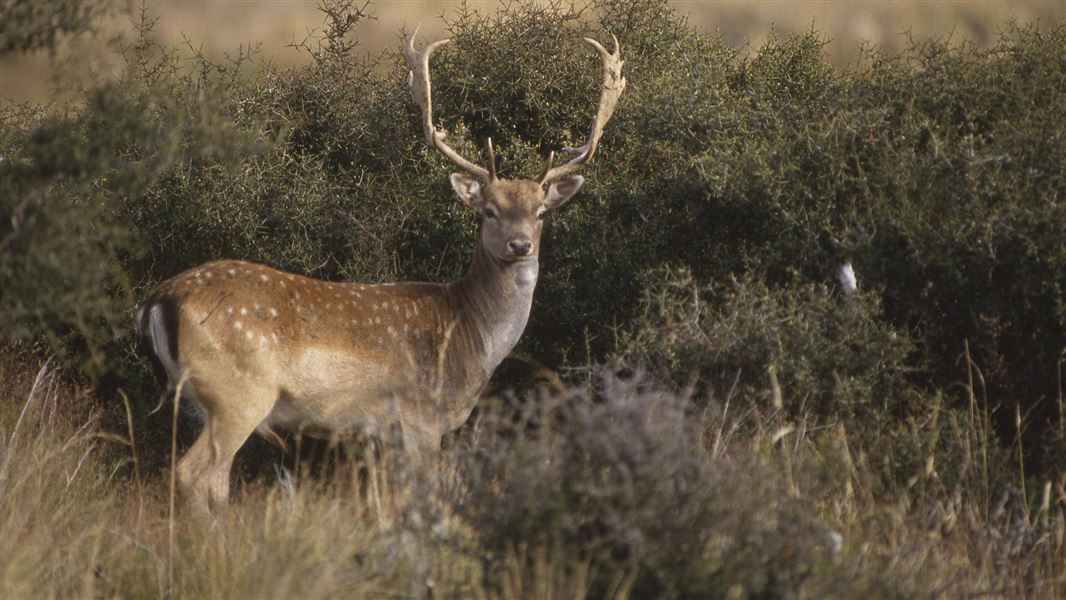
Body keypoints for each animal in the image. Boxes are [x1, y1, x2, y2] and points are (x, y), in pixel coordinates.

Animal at [140, 28, 622, 513]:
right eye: (488, 211)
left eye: (541, 213)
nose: (520, 245)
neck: (470, 336)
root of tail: (160, 299)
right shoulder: (420, 418)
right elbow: (425, 495)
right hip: (238, 393)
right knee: (196, 473)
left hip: (199, 399)